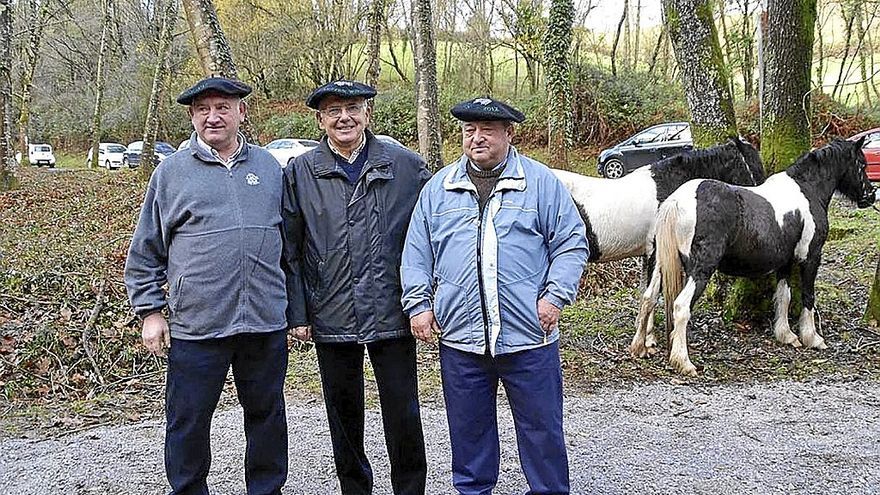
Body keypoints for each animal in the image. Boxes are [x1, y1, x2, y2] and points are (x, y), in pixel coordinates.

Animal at [632, 139, 872, 376]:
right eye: (862, 164)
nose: (870, 195)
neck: (807, 190)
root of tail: (678, 201)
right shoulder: (811, 258)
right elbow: (807, 297)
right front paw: (812, 338)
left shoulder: (785, 263)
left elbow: (784, 296)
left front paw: (786, 335)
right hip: (700, 270)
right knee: (681, 307)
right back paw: (684, 362)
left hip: (660, 265)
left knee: (648, 298)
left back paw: (640, 347)